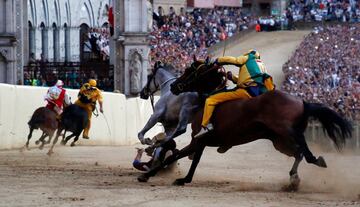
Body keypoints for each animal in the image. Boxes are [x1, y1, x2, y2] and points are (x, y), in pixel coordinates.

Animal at [138, 57, 352, 189]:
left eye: (189, 70)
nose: (174, 86)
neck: (206, 98)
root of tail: (302, 102)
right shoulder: (200, 142)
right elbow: (188, 160)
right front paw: (181, 178)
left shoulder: (197, 140)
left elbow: (177, 157)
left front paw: (150, 175)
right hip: (279, 141)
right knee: (298, 154)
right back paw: (294, 178)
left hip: (286, 132)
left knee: (304, 151)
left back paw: (314, 161)